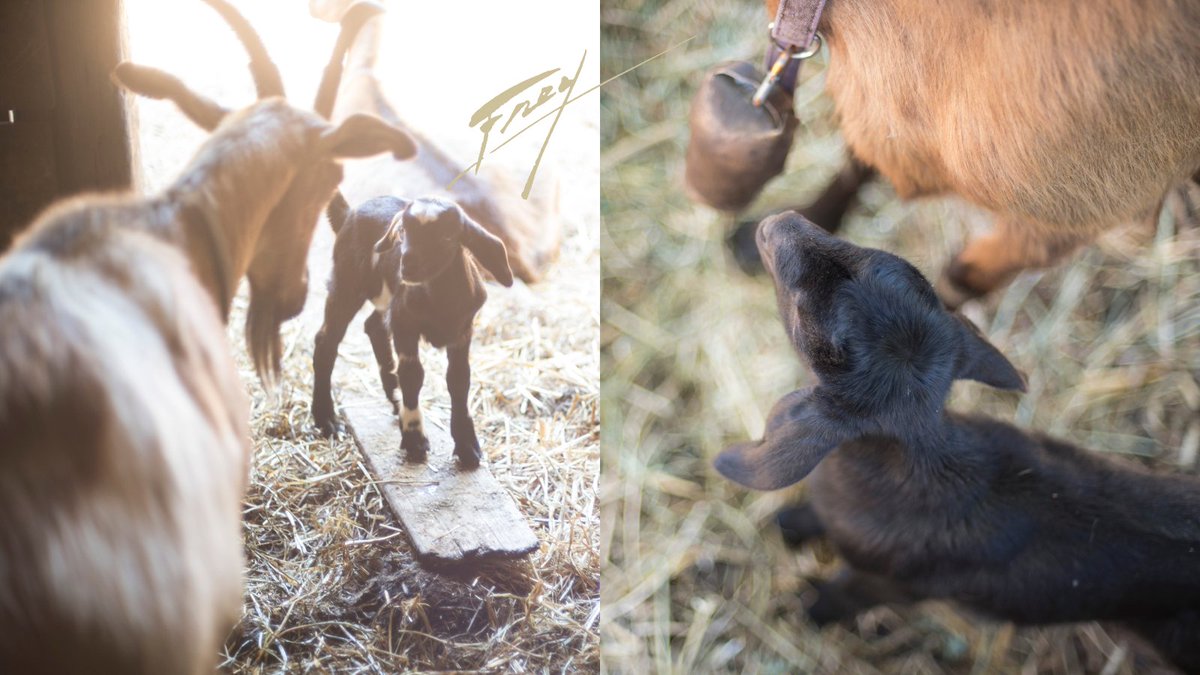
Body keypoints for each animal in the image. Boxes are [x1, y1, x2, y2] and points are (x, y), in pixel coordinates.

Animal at [311, 195, 513, 468]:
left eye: (447, 237)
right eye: (403, 231)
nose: (407, 265)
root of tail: (349, 212)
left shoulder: (462, 331)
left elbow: (459, 379)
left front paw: (467, 447)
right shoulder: (405, 325)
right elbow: (412, 375)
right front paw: (415, 439)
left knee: (373, 326)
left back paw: (394, 400)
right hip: (347, 283)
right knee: (326, 341)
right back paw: (326, 419)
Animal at [715, 212, 1200, 672]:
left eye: (800, 312)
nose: (778, 222)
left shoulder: (889, 581)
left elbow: (844, 594)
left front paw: (807, 611)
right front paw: (790, 522)